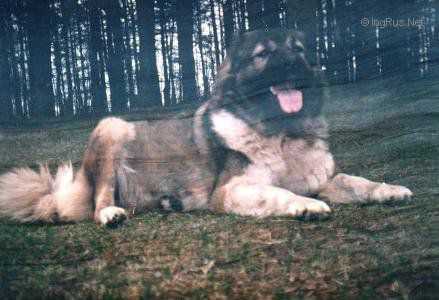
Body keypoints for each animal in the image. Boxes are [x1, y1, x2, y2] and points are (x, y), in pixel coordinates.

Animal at [0, 29, 414, 225]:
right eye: (263, 54)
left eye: (298, 49)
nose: (291, 65)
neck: (280, 134)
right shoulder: (231, 190)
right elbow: (277, 193)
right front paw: (306, 206)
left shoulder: (322, 178)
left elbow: (356, 181)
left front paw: (389, 189)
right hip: (112, 127)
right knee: (100, 199)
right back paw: (110, 215)